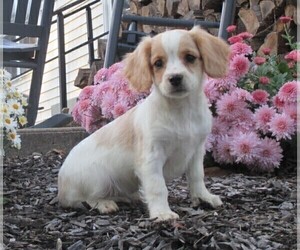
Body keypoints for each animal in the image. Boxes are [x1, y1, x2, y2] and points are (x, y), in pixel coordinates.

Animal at [57, 25, 229, 221]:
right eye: (158, 63)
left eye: (190, 57)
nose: (175, 78)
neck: (181, 110)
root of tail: (60, 186)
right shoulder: (151, 157)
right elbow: (158, 187)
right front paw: (162, 213)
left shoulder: (196, 151)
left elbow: (197, 177)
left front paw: (203, 197)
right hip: (98, 178)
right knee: (85, 199)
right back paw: (104, 204)